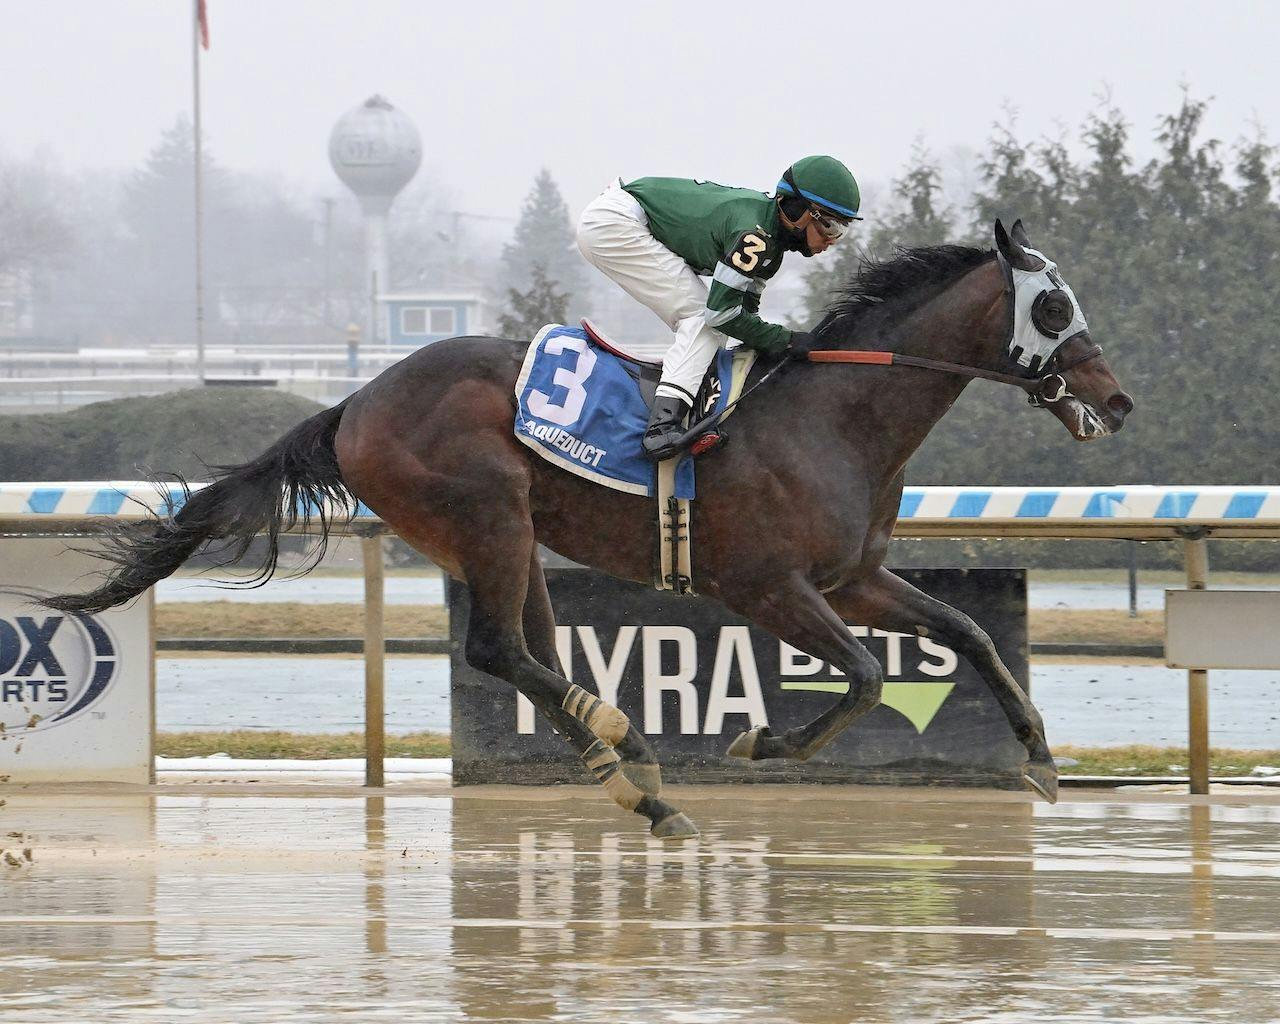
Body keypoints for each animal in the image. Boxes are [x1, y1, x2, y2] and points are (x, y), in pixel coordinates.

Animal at [47, 220, 1131, 834]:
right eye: (1052, 304)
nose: (1114, 401)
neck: (833, 417)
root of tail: (353, 399)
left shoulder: (851, 579)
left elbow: (967, 632)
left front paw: (1039, 760)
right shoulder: (767, 587)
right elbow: (864, 676)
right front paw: (759, 745)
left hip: (516, 533)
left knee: (528, 649)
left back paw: (631, 768)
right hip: (485, 510)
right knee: (495, 648)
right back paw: (629, 757)